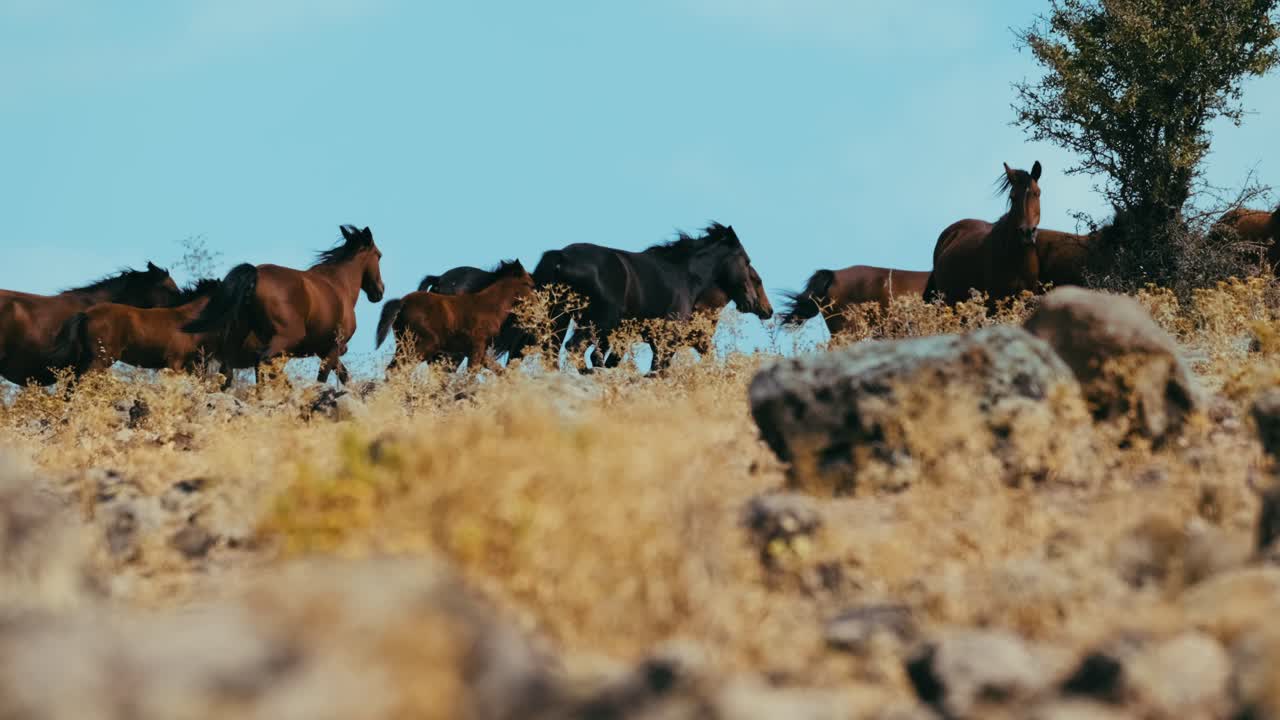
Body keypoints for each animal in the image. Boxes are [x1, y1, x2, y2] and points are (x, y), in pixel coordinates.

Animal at [184, 225, 385, 387]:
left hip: (239, 336)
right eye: (379, 256)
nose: (380, 291)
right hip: (286, 338)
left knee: (229, 370)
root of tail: (255, 275)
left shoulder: (323, 349)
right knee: (263, 361)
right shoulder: (334, 347)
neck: (339, 284)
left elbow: (344, 376)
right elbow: (323, 377)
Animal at [376, 260, 534, 372]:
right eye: (529, 284)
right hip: (425, 345)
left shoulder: (478, 350)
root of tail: (402, 302)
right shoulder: (477, 347)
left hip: (405, 345)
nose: (536, 303)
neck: (489, 304)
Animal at [506, 222, 769, 372]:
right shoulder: (665, 340)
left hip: (558, 317)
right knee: (573, 349)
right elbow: (656, 372)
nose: (761, 307)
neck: (684, 274)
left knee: (544, 350)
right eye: (747, 262)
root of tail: (561, 256)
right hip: (597, 321)